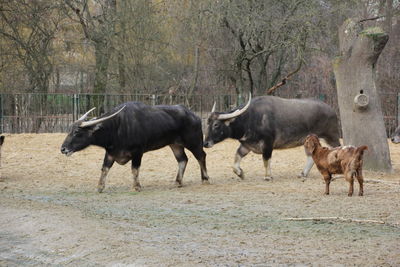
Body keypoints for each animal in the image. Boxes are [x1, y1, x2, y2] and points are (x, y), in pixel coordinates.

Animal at [60, 102, 209, 193]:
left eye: (77, 132)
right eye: (70, 130)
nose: (63, 149)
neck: (117, 127)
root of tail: (195, 116)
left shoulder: (138, 152)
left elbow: (134, 169)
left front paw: (136, 187)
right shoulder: (110, 153)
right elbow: (105, 169)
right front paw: (100, 187)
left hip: (193, 142)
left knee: (201, 156)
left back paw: (205, 179)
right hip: (175, 144)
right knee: (183, 159)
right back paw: (178, 182)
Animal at [205, 95, 340, 181]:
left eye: (216, 125)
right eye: (207, 122)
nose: (205, 143)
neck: (250, 118)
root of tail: (332, 110)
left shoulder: (267, 143)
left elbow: (266, 160)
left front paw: (267, 176)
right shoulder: (246, 145)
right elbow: (236, 159)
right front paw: (241, 173)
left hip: (331, 137)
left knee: (337, 149)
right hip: (309, 141)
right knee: (311, 156)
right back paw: (303, 174)